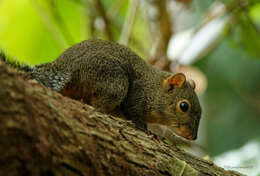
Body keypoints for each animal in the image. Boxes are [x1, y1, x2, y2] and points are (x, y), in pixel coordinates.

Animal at [0, 38, 201, 140]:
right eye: (184, 106)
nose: (192, 137)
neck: (154, 88)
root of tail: (65, 67)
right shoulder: (137, 95)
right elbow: (134, 114)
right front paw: (146, 129)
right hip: (115, 81)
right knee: (98, 105)